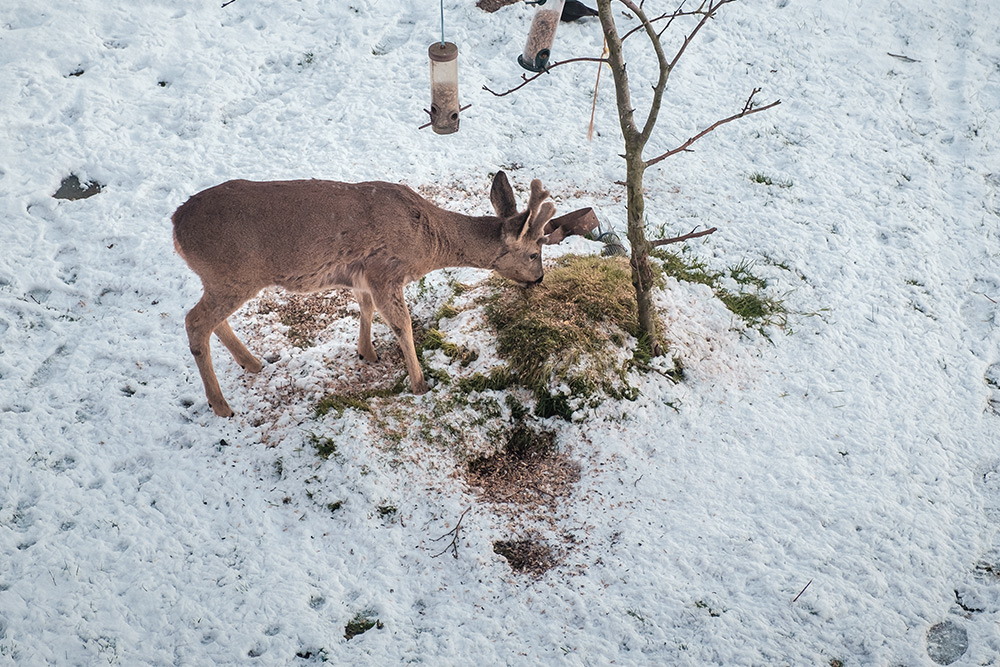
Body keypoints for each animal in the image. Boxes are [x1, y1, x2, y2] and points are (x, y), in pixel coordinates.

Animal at [172, 170, 596, 414]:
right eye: (534, 253)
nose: (539, 279)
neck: (428, 243)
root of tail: (175, 225)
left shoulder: (363, 274)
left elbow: (365, 307)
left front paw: (367, 352)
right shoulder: (386, 270)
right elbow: (402, 325)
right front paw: (420, 383)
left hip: (224, 279)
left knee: (211, 321)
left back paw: (254, 364)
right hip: (234, 273)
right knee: (195, 322)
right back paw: (222, 405)